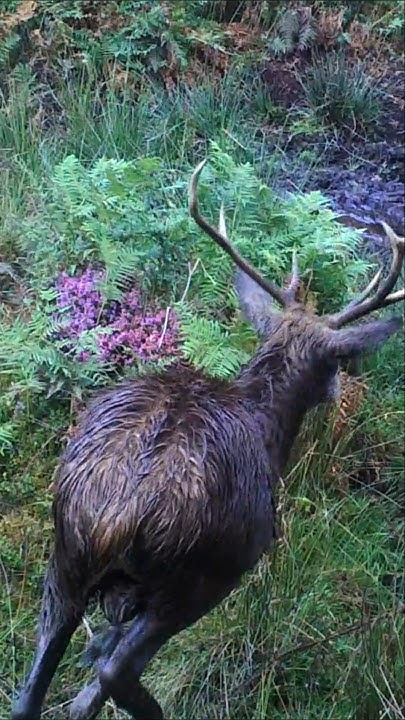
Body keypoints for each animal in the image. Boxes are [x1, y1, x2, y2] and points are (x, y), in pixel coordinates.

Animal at [12, 160, 404, 720]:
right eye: (336, 363)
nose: (337, 390)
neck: (268, 432)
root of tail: (118, 514)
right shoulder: (238, 560)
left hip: (65, 552)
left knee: (33, 690)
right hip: (196, 574)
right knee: (115, 671)